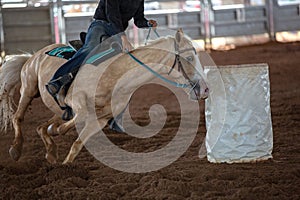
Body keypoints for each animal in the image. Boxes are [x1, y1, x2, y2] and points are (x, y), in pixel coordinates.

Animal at [0, 29, 209, 164]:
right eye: (189, 58)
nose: (206, 89)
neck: (116, 76)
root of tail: (32, 57)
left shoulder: (100, 120)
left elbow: (77, 144)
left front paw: (65, 166)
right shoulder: (75, 99)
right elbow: (81, 115)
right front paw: (58, 131)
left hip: (57, 109)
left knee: (40, 127)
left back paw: (51, 151)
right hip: (29, 90)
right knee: (18, 118)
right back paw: (16, 149)